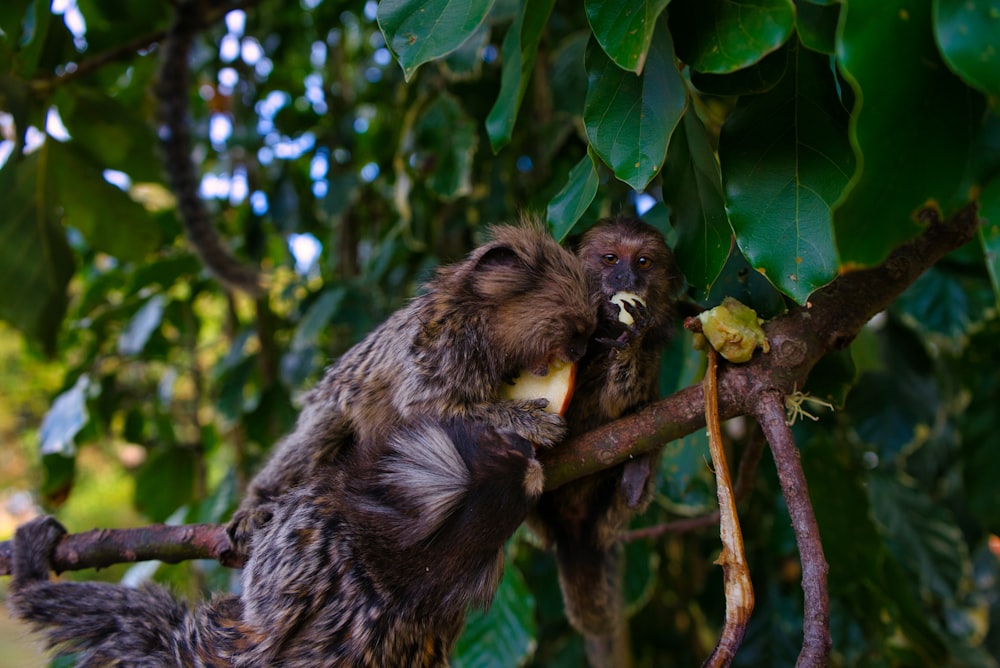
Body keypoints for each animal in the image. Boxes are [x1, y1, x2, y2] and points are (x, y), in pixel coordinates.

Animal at [3, 414, 548, 664]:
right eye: (497, 440)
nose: (523, 447)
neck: (397, 564)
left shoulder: (307, 533)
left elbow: (260, 618)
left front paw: (253, 523)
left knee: (133, 618)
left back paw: (30, 576)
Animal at [532, 215, 680, 668]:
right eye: (611, 259)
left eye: (643, 262)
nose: (626, 277)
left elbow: (625, 397)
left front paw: (630, 345)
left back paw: (635, 477)